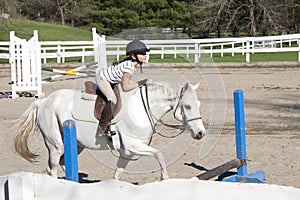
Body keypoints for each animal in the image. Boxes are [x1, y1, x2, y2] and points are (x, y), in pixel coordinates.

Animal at [14, 81, 206, 180]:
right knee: (53, 168)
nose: (200, 133)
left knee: (58, 165)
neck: (142, 108)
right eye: (187, 106)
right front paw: (164, 178)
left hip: (76, 145)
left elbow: (117, 175)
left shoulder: (127, 153)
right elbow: (159, 154)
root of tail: (43, 101)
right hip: (55, 144)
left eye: (198, 104)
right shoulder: (133, 146)